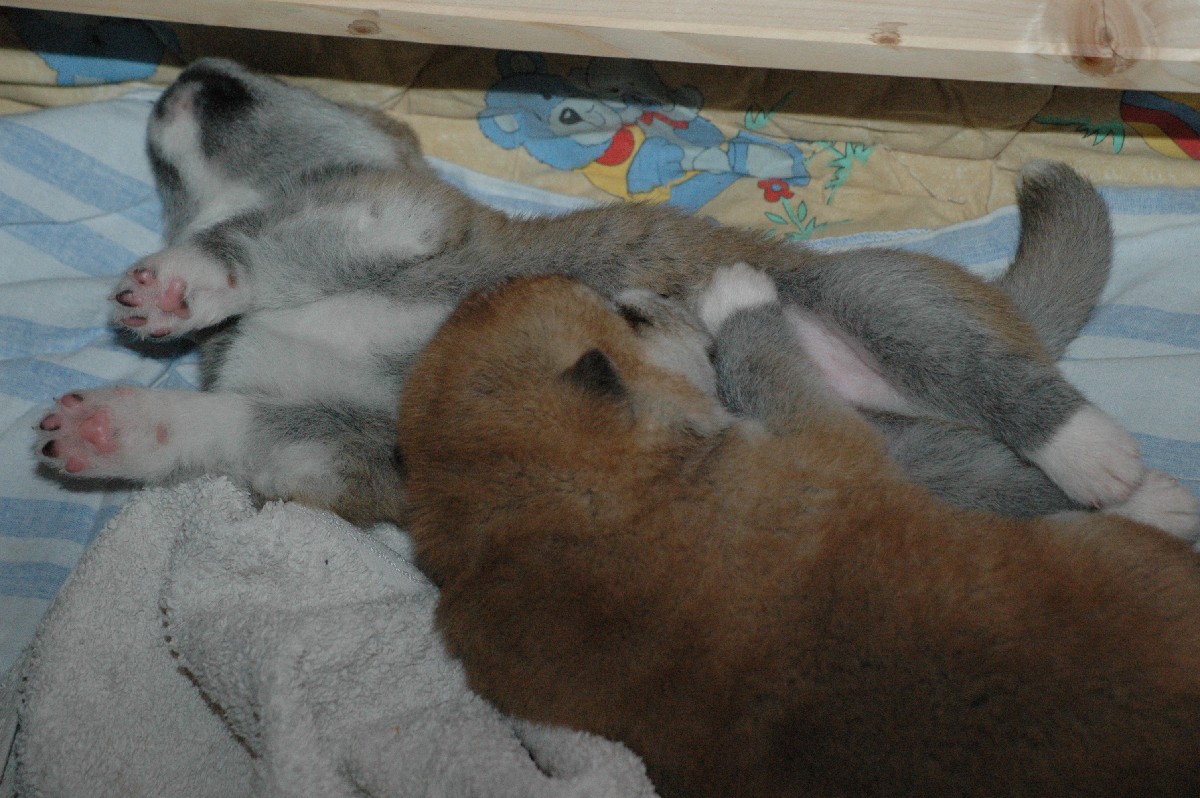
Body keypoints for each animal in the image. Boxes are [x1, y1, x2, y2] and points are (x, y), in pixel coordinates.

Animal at [34, 58, 1189, 533]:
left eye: (259, 87)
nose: (187, 75)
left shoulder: (396, 221)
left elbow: (264, 242)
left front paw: (180, 282)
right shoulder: (330, 445)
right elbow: (218, 427)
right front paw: (109, 429)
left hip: (884, 309)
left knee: (1011, 389)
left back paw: (1107, 460)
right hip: (944, 474)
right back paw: (1148, 505)